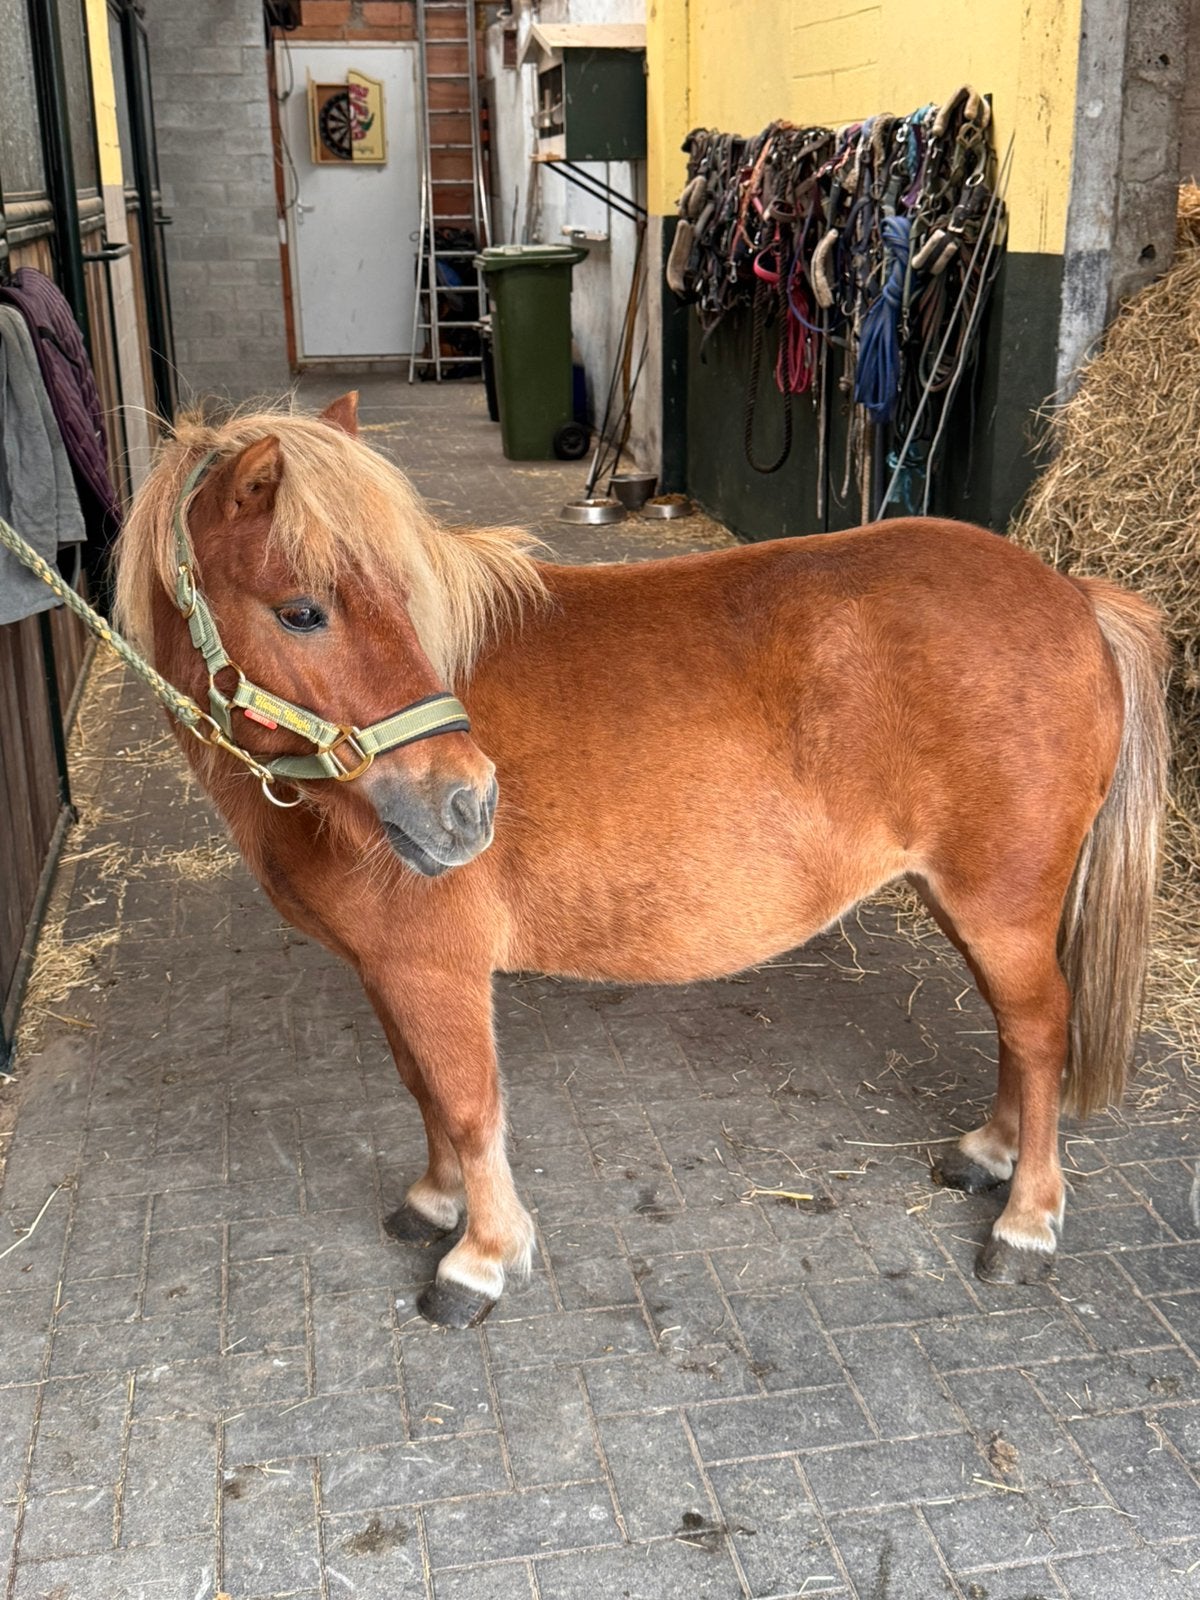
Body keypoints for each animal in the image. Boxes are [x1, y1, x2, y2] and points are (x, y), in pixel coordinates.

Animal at [113, 391, 1169, 1329]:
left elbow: (468, 1104)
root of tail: (1072, 596)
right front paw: (434, 1203)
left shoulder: (434, 970)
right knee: (1016, 1032)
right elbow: (423, 1091)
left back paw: (1027, 1220)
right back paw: (989, 1153)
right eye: (301, 613)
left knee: (1041, 1032)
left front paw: (481, 1256)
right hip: (965, 901)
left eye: (398, 600)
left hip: (1002, 907)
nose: (467, 805)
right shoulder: (389, 972)